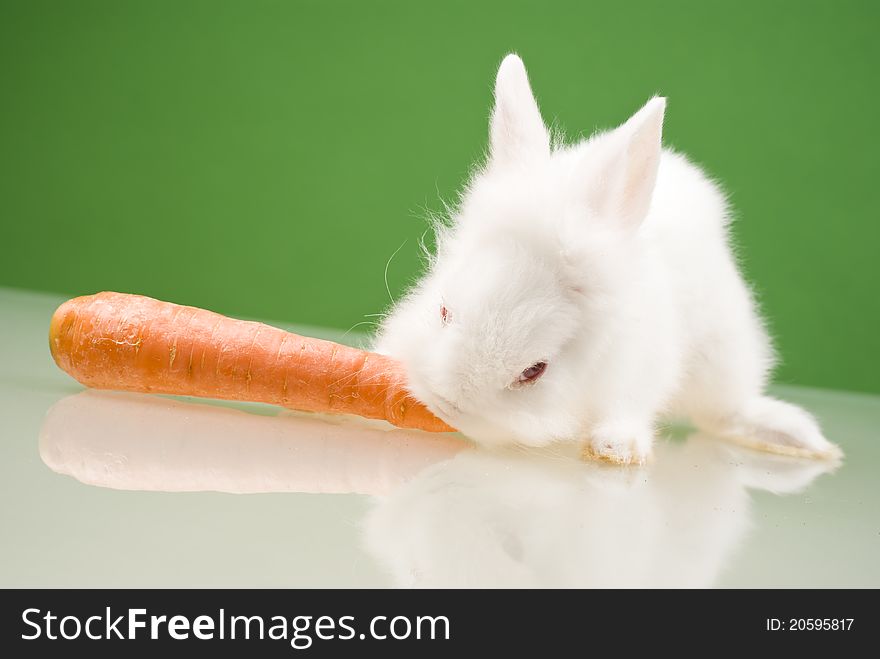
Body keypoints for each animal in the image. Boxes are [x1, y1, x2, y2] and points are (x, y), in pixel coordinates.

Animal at [372, 54, 840, 464]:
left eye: (535, 370)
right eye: (443, 312)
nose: (448, 402)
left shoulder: (639, 368)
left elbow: (627, 408)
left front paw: (616, 450)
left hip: (724, 358)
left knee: (725, 412)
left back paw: (800, 441)